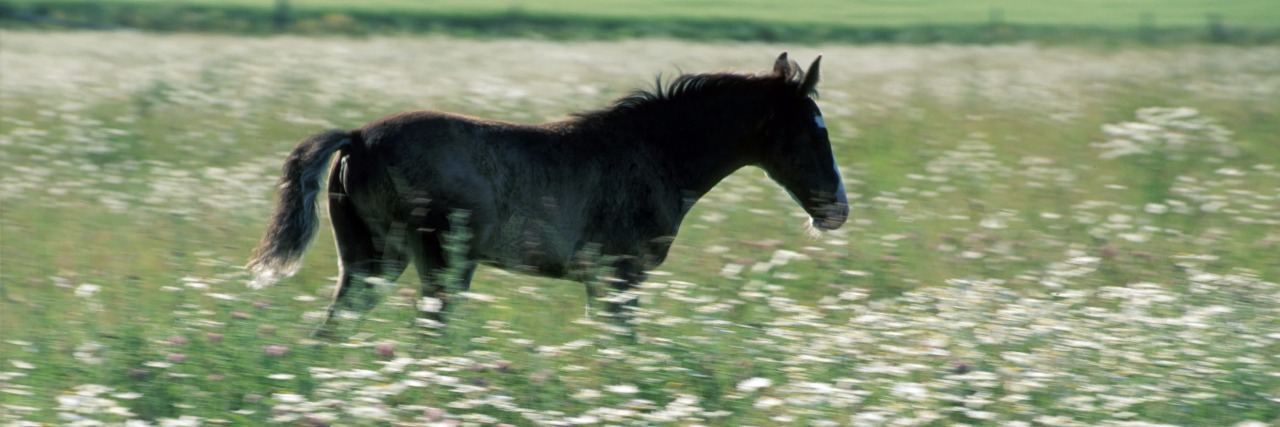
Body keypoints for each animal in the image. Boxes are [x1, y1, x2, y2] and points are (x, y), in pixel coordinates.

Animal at [247, 52, 848, 336]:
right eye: (813, 131)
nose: (837, 210)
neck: (654, 153)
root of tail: (358, 138)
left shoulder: (603, 281)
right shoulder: (619, 276)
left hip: (373, 261)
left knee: (333, 330)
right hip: (441, 263)